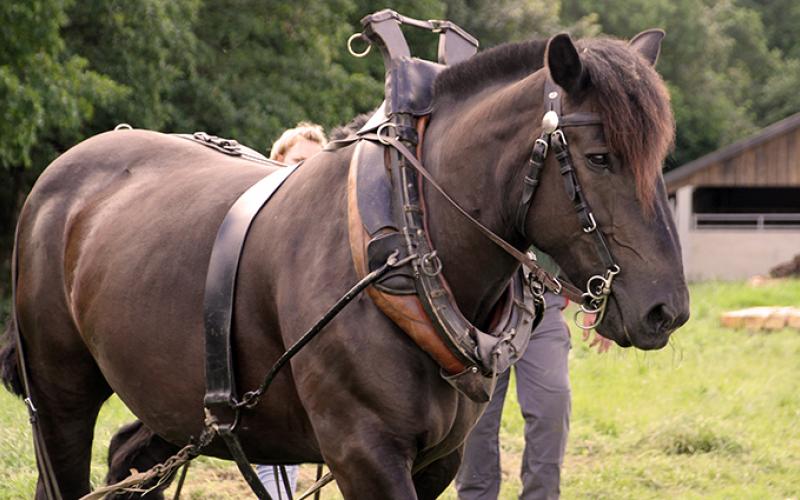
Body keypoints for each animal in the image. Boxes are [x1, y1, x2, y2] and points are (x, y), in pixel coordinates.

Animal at [1, 32, 688, 500]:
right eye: (598, 158)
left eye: (659, 158)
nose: (667, 311)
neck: (400, 245)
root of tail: (59, 175)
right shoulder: (366, 454)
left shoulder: (437, 460)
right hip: (59, 396)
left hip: (176, 397)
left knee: (129, 459)